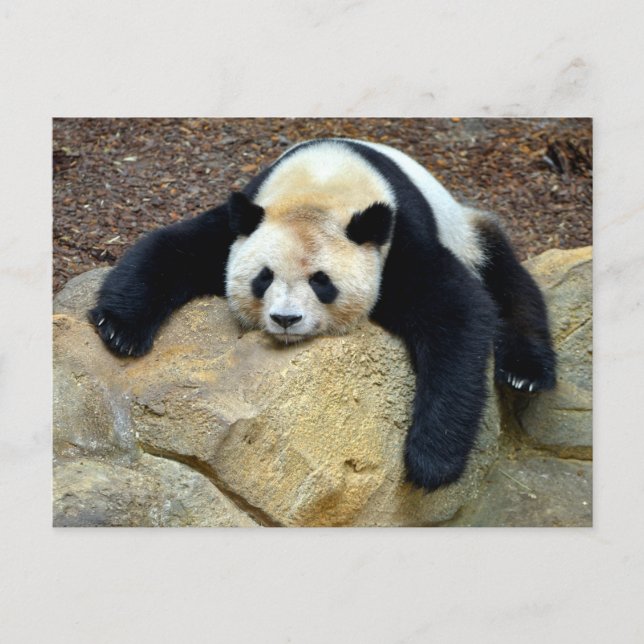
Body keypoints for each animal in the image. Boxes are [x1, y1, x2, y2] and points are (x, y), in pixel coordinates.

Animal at [90, 138, 556, 491]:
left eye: (322, 282)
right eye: (263, 277)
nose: (286, 319)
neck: (323, 182)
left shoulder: (398, 241)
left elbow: (458, 312)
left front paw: (431, 461)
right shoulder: (244, 220)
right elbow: (172, 248)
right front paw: (119, 329)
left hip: (467, 230)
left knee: (509, 283)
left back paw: (525, 372)